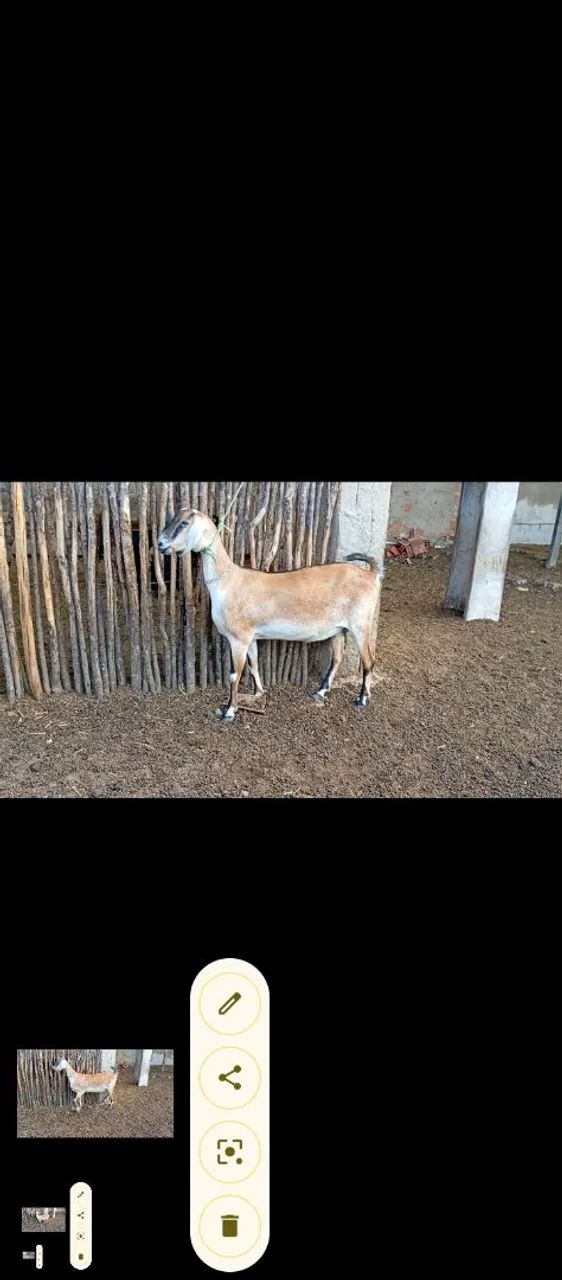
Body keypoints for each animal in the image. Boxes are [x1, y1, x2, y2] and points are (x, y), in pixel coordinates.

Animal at [158, 506, 383, 721]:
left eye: (184, 523)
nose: (160, 544)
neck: (227, 582)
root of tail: (370, 574)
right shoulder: (251, 637)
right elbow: (254, 665)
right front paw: (258, 693)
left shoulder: (238, 638)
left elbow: (234, 674)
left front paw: (229, 711)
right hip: (338, 628)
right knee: (337, 658)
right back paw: (320, 692)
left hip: (361, 623)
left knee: (368, 660)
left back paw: (362, 699)